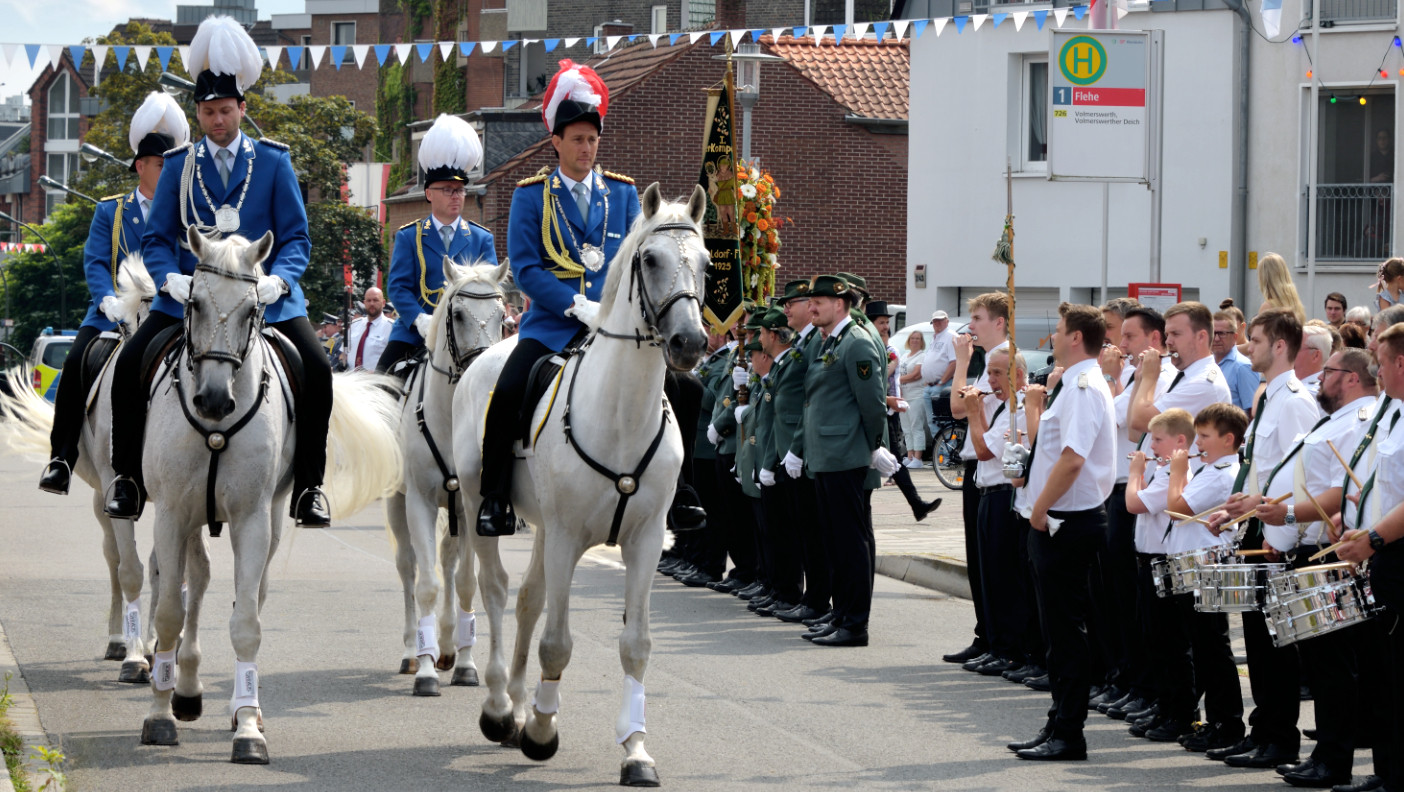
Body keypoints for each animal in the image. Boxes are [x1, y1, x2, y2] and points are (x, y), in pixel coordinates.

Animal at [0, 256, 162, 682]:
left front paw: (156, 648)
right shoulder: (115, 491)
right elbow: (130, 569)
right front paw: (134, 657)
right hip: (101, 500)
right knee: (114, 560)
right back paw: (119, 641)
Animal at [138, 227, 401, 758]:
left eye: (252, 310)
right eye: (194, 303)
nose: (213, 400)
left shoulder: (252, 519)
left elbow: (246, 622)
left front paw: (247, 727)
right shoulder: (172, 513)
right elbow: (171, 612)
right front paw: (159, 714)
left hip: (272, 519)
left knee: (240, 591)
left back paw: (213, 697)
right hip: (182, 518)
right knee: (184, 583)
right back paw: (179, 688)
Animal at [384, 255, 511, 693]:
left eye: (504, 316)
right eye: (456, 314)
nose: (482, 372)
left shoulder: (472, 507)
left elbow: (468, 583)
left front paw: (466, 665)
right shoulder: (419, 501)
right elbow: (425, 585)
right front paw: (424, 673)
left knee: (449, 563)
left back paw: (446, 645)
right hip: (397, 502)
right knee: (408, 568)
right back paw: (412, 651)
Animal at [454, 185, 707, 786]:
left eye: (708, 263)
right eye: (649, 259)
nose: (690, 343)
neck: (621, 411)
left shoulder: (644, 541)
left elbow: (636, 645)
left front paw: (636, 750)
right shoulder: (569, 537)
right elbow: (556, 644)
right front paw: (542, 732)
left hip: (545, 527)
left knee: (527, 598)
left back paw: (516, 705)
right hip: (480, 505)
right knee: (495, 590)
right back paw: (500, 708)